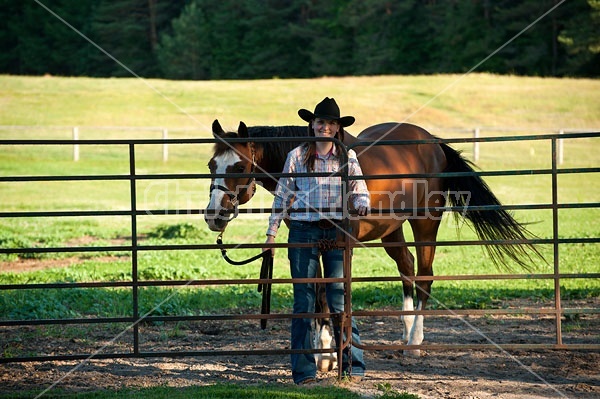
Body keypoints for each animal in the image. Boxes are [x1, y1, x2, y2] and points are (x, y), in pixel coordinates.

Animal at [206, 119, 540, 362]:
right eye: (211, 165)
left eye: (239, 166)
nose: (214, 214)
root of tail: (432, 142)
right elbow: (318, 295)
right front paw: (319, 351)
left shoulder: (341, 245)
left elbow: (332, 293)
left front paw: (329, 353)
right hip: (391, 230)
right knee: (407, 267)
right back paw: (405, 332)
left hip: (426, 223)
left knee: (425, 276)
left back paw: (415, 342)